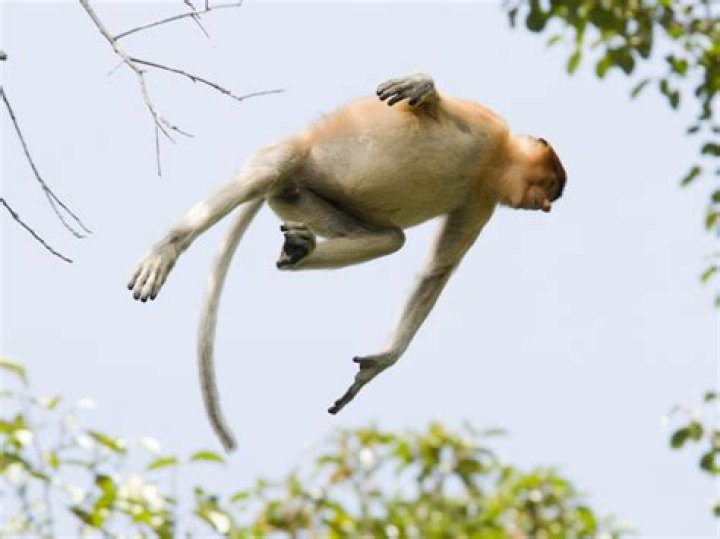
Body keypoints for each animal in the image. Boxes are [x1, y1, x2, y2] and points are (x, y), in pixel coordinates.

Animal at [127, 73, 567, 452]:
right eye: (549, 185)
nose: (545, 205)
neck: (494, 162)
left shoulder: (480, 201)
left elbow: (436, 272)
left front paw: (375, 367)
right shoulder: (484, 123)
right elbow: (431, 104)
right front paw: (419, 86)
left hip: (300, 199)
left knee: (390, 239)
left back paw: (300, 250)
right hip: (287, 159)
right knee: (267, 170)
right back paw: (166, 249)